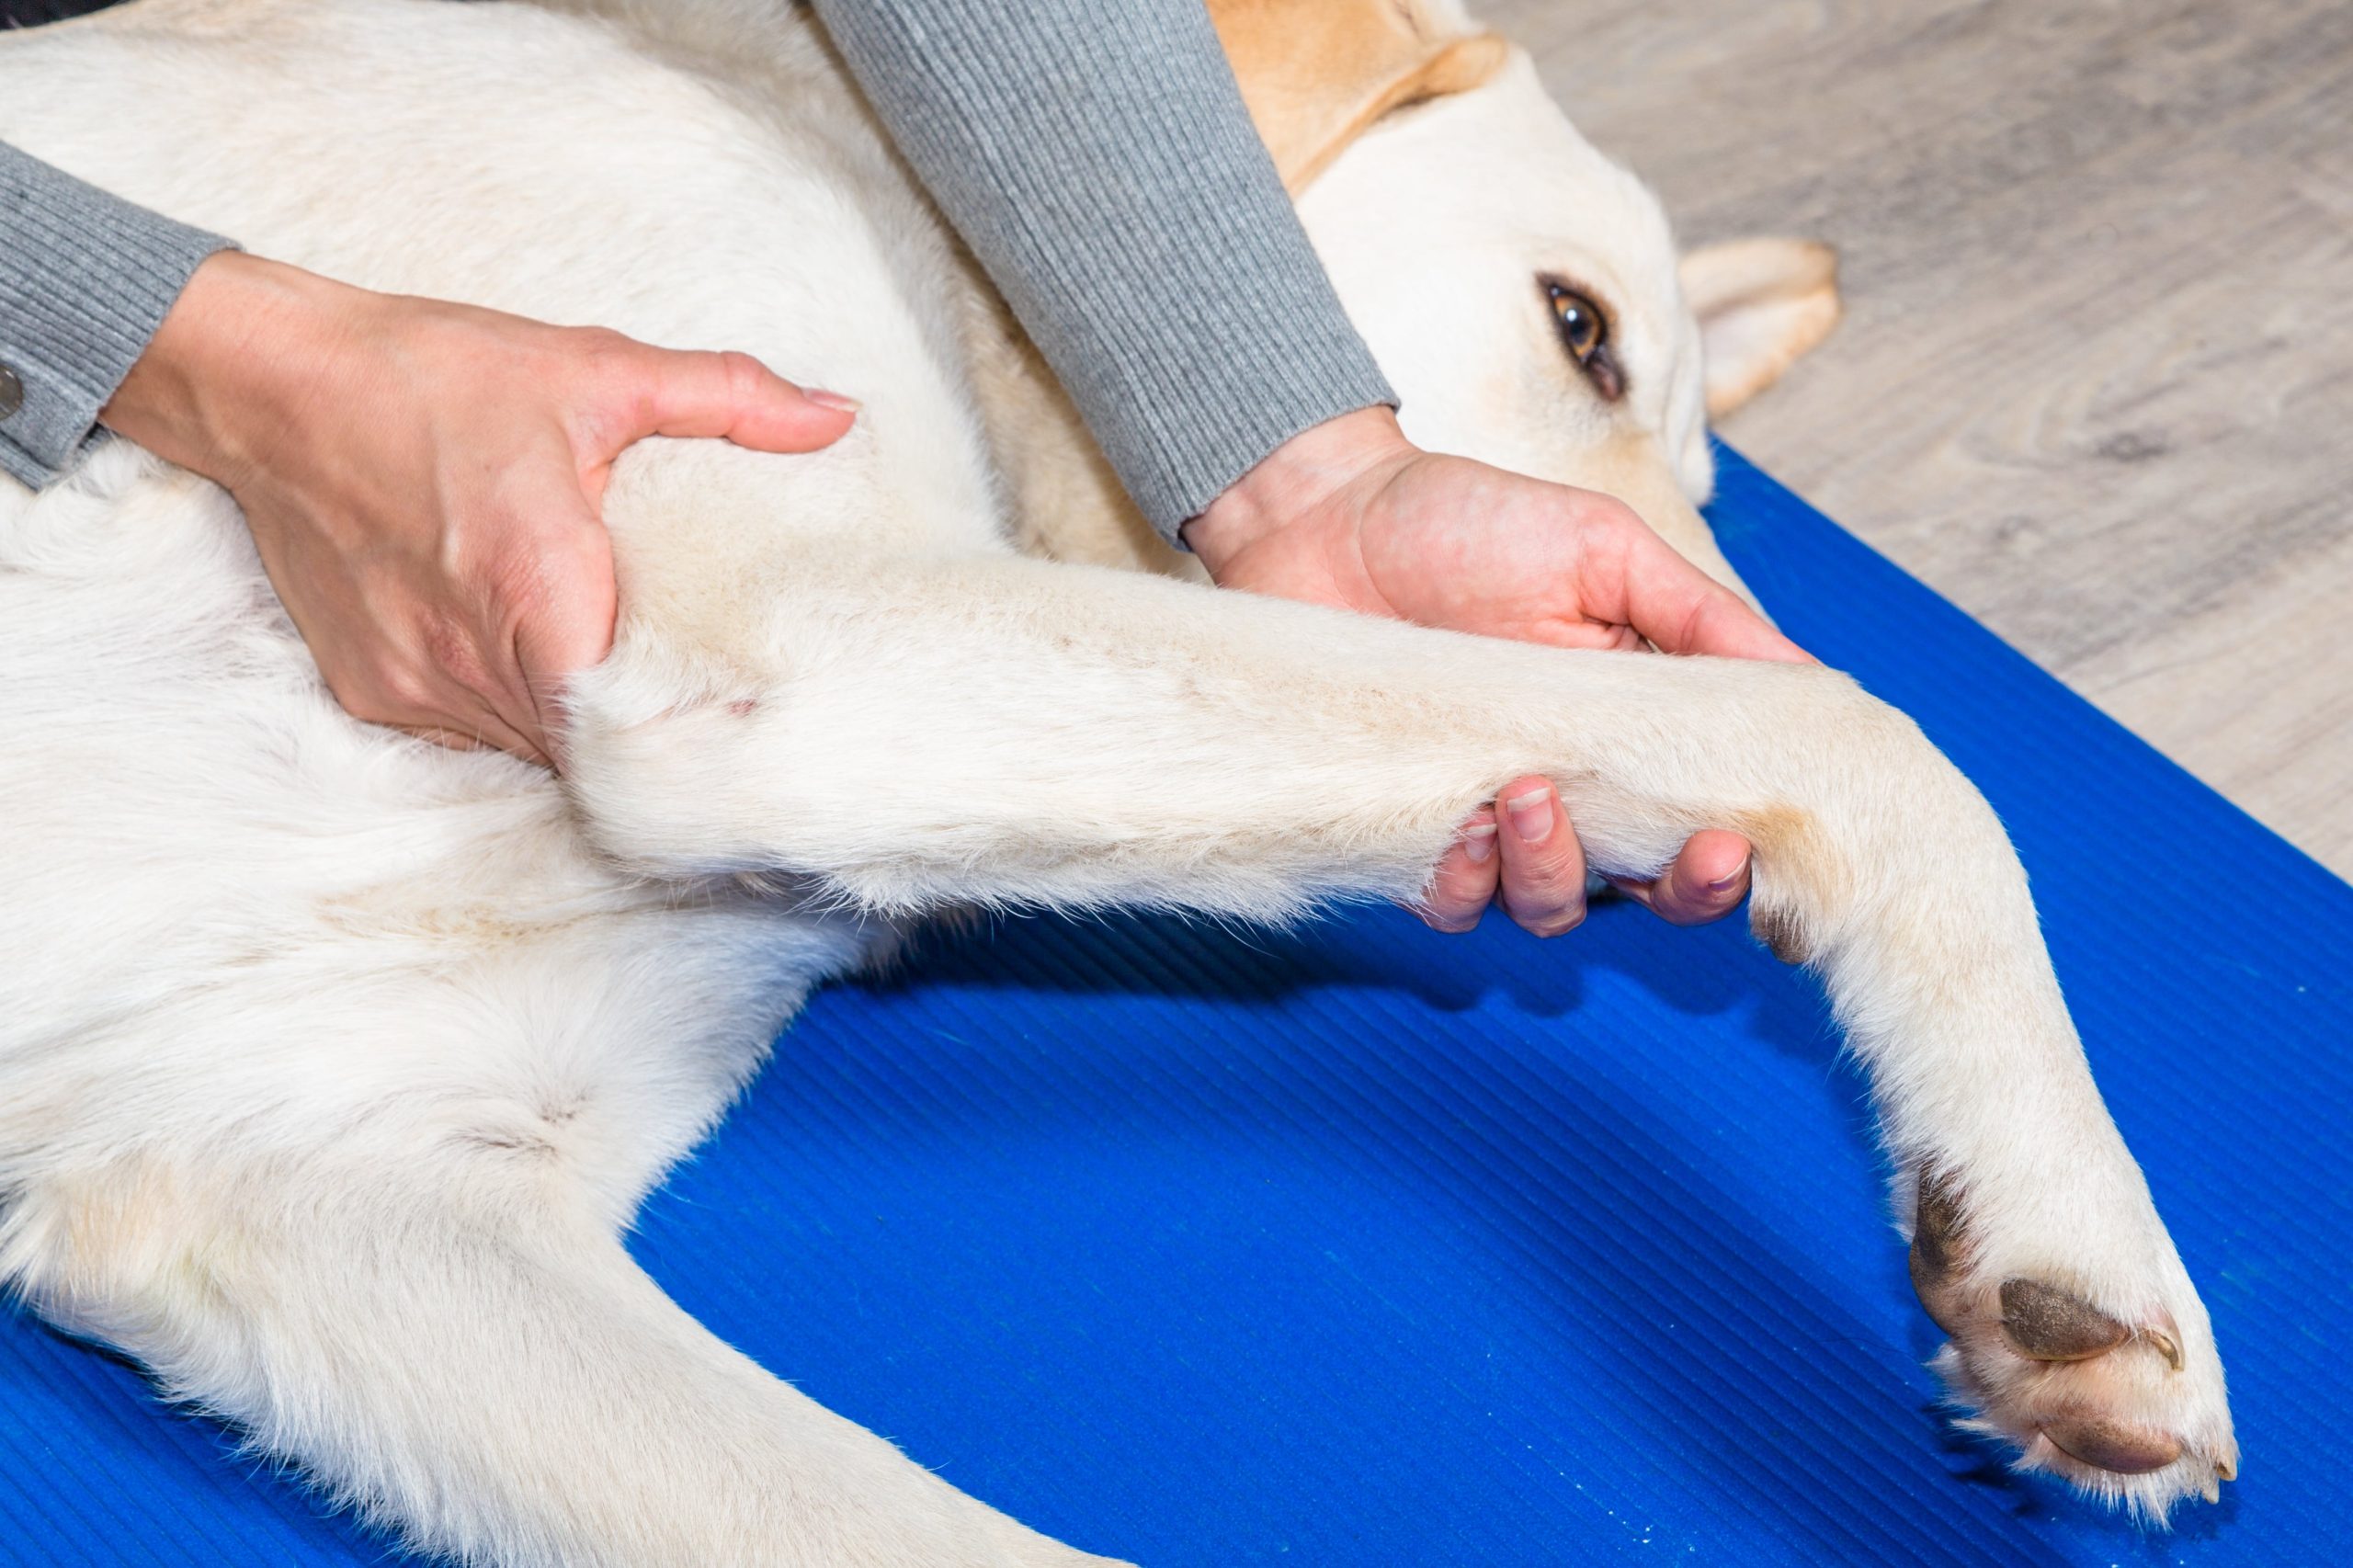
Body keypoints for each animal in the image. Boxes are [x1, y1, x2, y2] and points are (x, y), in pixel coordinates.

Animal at [0, 3, 2240, 1562]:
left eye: (1699, 469)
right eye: (1579, 331)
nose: (1685, 604)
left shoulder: (334, 1186)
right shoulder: (792, 637)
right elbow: (1870, 738)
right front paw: (2068, 1233)